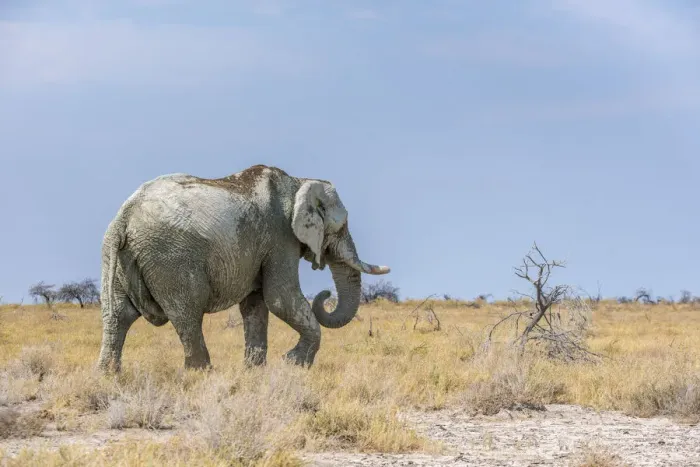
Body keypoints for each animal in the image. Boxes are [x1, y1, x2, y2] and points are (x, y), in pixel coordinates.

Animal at [96, 164, 390, 372]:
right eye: (341, 227)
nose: (326, 294)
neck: (298, 182)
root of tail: (124, 217)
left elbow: (256, 304)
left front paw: (254, 371)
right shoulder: (280, 237)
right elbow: (280, 298)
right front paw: (293, 364)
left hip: (116, 257)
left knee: (118, 315)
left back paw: (108, 375)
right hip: (170, 258)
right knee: (187, 313)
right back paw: (202, 373)